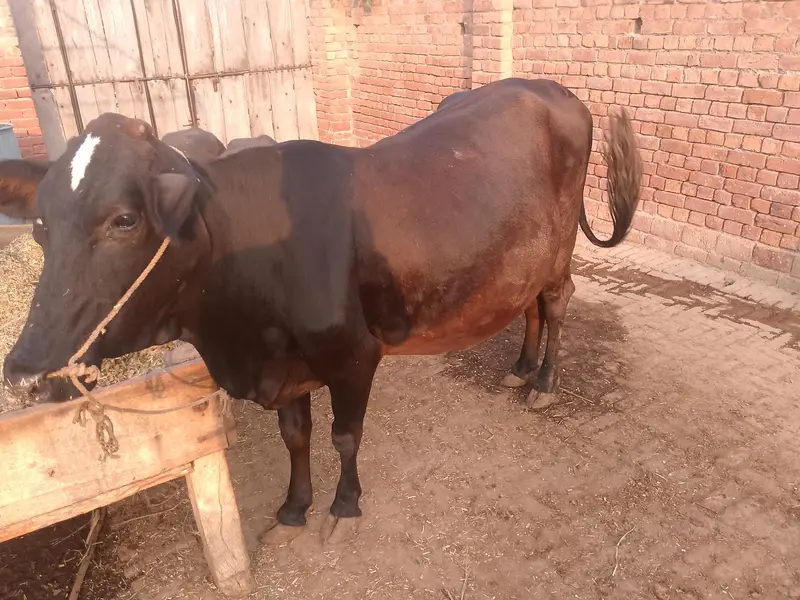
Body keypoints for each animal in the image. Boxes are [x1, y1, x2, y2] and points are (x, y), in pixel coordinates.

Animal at [0, 77, 642, 544]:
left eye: (125, 219)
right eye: (40, 224)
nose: (25, 371)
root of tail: (551, 88)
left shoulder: (353, 355)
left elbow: (344, 437)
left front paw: (344, 506)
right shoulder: (286, 365)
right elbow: (296, 436)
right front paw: (292, 510)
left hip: (559, 251)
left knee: (556, 303)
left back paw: (545, 382)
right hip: (521, 256)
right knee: (530, 304)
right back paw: (520, 368)